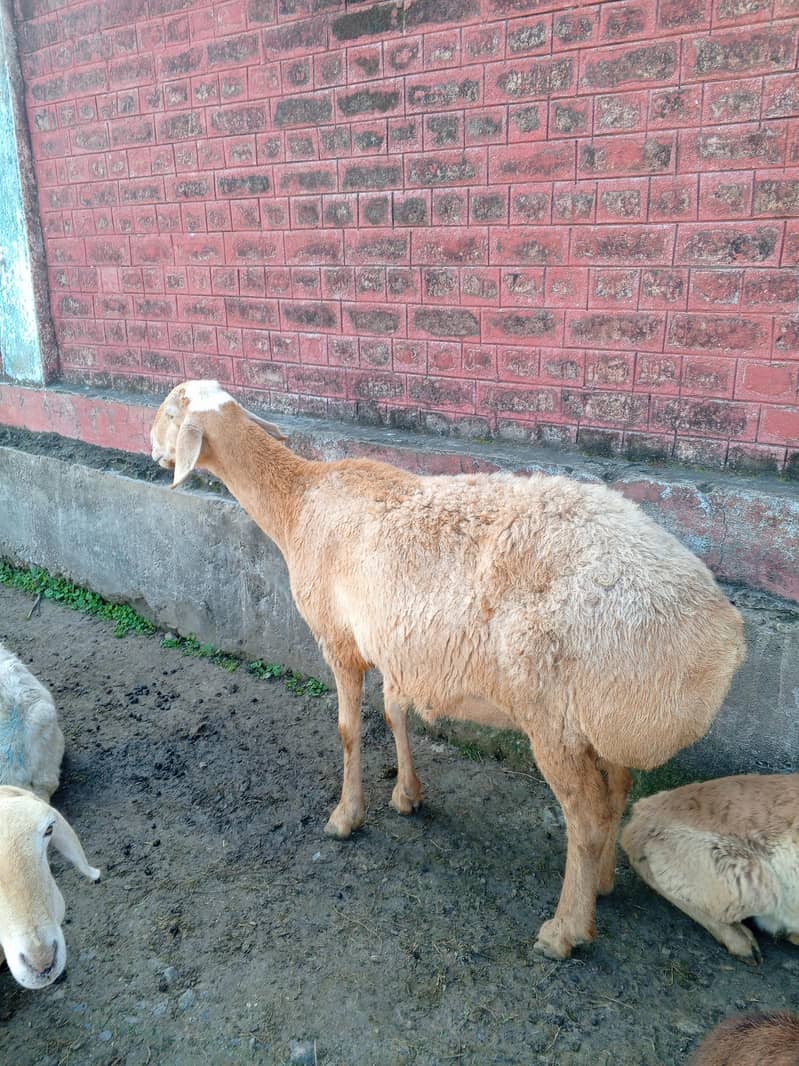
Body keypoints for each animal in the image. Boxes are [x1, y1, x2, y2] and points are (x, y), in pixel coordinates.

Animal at [150, 379, 745, 959]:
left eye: (168, 412)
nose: (152, 447)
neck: (299, 504)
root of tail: (723, 638)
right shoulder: (395, 643)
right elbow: (394, 713)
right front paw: (407, 795)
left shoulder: (340, 640)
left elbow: (348, 730)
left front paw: (346, 816)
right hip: (601, 713)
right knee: (619, 788)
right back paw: (599, 886)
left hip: (553, 714)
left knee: (588, 817)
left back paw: (565, 930)